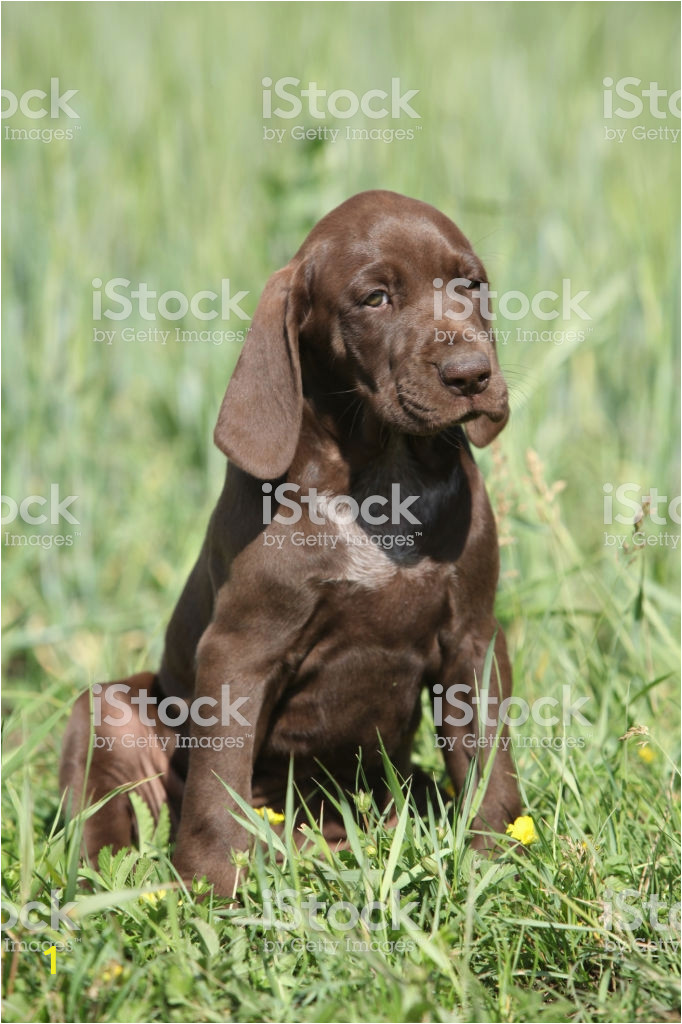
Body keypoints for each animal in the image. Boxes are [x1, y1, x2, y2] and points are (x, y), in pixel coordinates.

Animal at [62, 192, 520, 897]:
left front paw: (496, 861)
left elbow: (487, 758)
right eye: (375, 298)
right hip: (111, 713)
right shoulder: (239, 651)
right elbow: (218, 780)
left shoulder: (472, 636)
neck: (382, 472)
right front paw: (212, 885)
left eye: (469, 285)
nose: (472, 375)